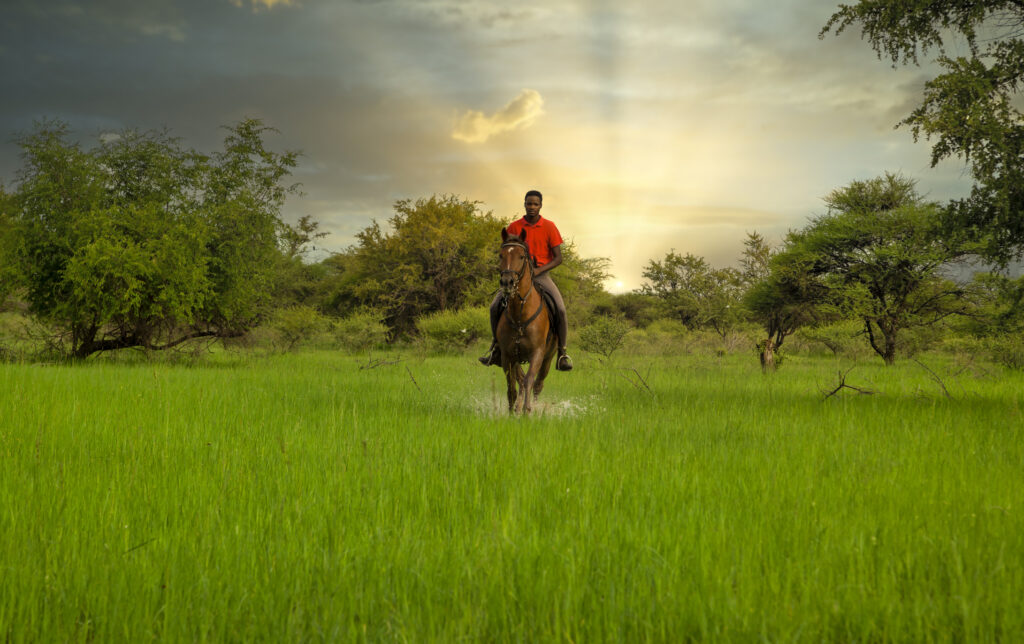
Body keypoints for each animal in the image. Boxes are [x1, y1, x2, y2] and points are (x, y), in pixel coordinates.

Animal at [497, 228, 561, 413]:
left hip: (548, 357)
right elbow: (512, 387)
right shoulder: (507, 355)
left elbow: (529, 381)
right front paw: (513, 412)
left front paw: (527, 411)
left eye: (521, 256)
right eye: (501, 255)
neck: (520, 315)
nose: (507, 282)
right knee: (520, 380)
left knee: (537, 384)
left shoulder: (537, 354)